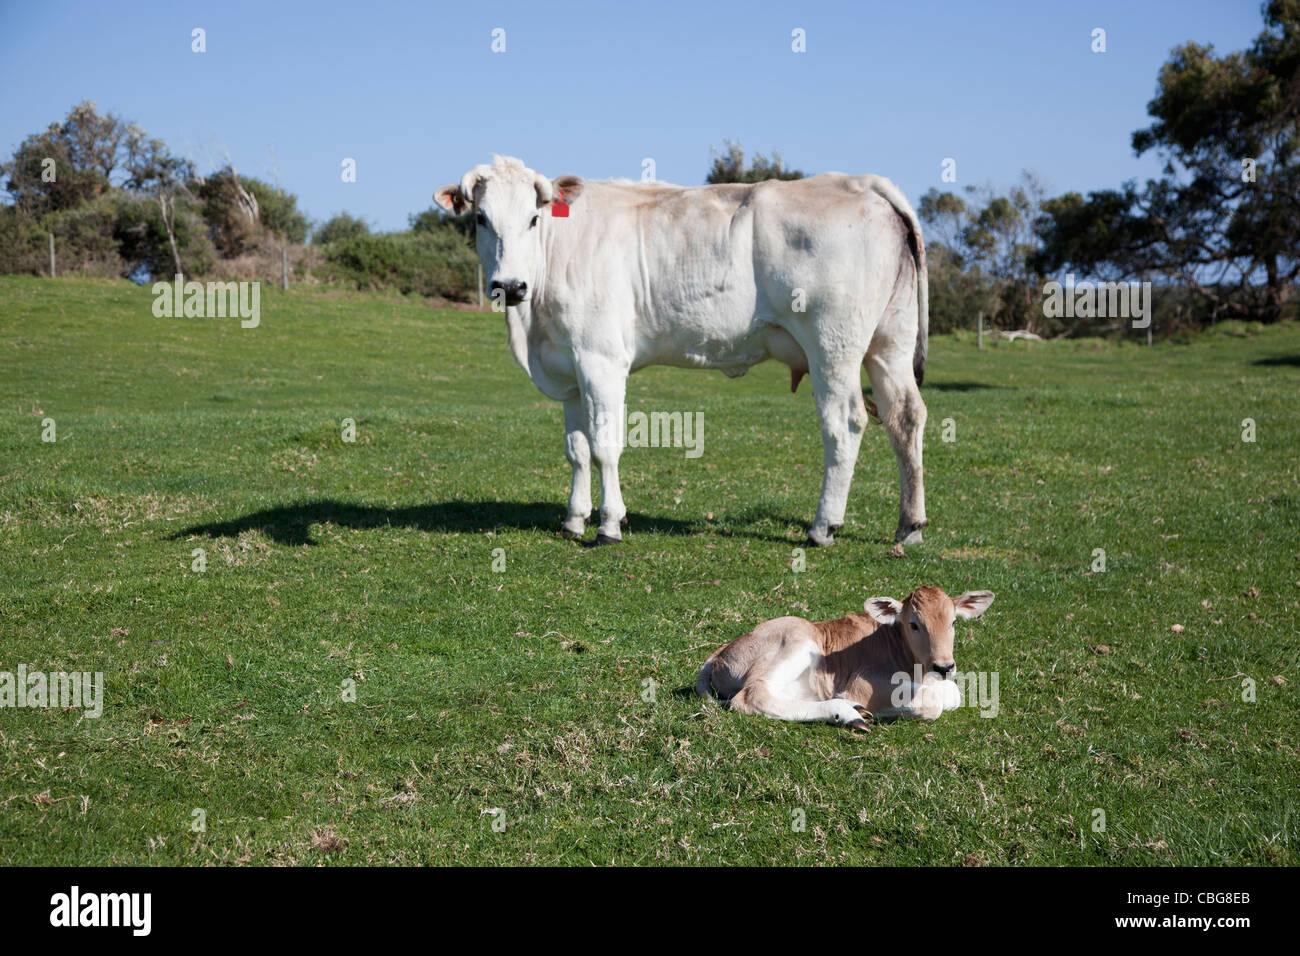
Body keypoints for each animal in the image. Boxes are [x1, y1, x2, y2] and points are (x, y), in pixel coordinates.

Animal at [441, 156, 930, 546]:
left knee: (845, 424)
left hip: (833, 344)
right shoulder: (569, 368)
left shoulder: (600, 359)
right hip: (890, 340)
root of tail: (858, 181)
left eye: (533, 218)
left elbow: (604, 445)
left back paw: (823, 526)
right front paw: (573, 520)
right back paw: (909, 526)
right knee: (905, 415)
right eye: (481, 218)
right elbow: (577, 449)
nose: (509, 286)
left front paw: (609, 525)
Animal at [702, 587, 993, 728]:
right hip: (800, 640)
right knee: (752, 696)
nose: (944, 666)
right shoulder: (861, 684)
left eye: (953, 621)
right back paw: (846, 713)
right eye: (914, 624)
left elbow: (953, 693)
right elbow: (934, 702)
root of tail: (718, 653)